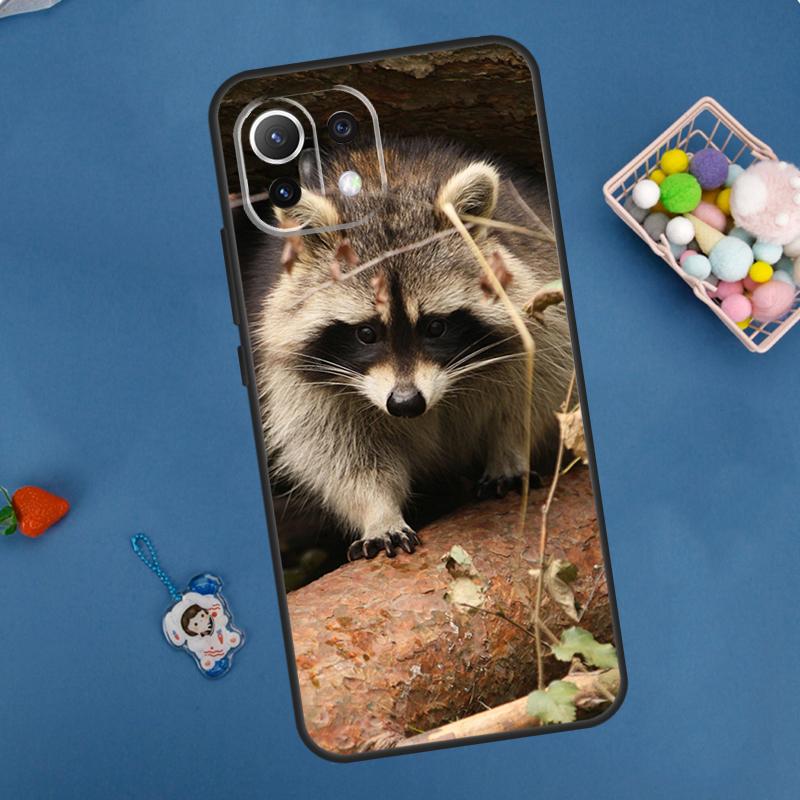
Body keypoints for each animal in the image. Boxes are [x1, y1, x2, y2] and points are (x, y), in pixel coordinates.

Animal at [246, 139, 572, 560]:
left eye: (435, 327)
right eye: (366, 333)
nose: (405, 404)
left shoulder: (540, 311)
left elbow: (532, 394)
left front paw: (511, 449)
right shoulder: (296, 377)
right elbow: (336, 454)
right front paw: (378, 510)